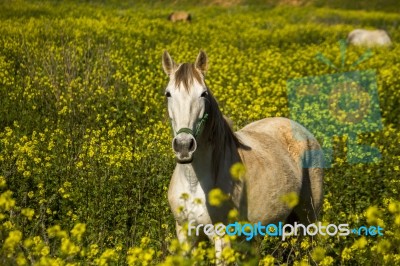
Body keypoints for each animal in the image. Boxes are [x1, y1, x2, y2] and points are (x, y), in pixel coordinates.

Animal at [162, 50, 322, 264]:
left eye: (203, 93)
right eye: (168, 93)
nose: (184, 146)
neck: (194, 183)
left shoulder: (222, 236)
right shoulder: (185, 233)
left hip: (310, 215)